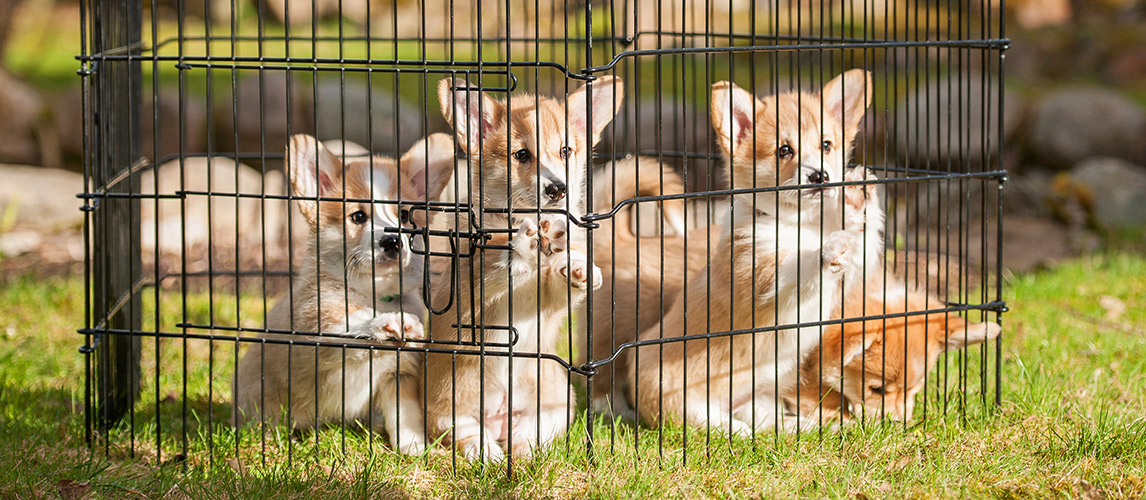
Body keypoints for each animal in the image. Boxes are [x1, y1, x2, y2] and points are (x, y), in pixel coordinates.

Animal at [234, 131, 453, 454]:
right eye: (357, 216)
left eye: (404, 215)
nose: (392, 242)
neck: (373, 292)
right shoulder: (320, 326)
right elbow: (351, 323)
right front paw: (388, 322)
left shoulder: (398, 374)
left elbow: (405, 414)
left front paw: (414, 447)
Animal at [424, 75, 623, 461]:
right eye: (521, 155)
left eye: (565, 151)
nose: (557, 189)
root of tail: (500, 412)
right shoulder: (472, 290)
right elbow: (498, 263)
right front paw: (520, 246)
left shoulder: (551, 300)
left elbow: (562, 278)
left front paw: (578, 266)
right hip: (451, 410)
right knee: (469, 435)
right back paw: (487, 454)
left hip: (557, 407)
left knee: (527, 441)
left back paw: (522, 453)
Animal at [628, 69, 875, 433]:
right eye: (784, 150)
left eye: (827, 145)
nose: (820, 175)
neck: (797, 222)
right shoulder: (759, 274)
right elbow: (796, 265)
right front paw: (824, 249)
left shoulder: (855, 269)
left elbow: (862, 239)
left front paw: (857, 200)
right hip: (687, 406)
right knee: (721, 427)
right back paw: (742, 433)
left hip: (761, 400)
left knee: (771, 424)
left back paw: (808, 426)